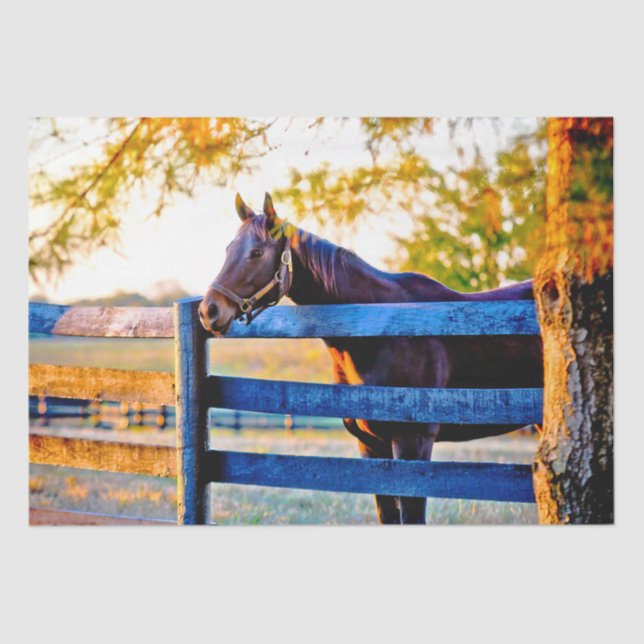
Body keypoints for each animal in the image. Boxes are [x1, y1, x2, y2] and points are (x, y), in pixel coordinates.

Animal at [199, 192, 543, 524]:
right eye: (229, 249)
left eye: (256, 252)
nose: (208, 311)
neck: (380, 327)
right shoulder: (371, 445)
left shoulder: (413, 444)